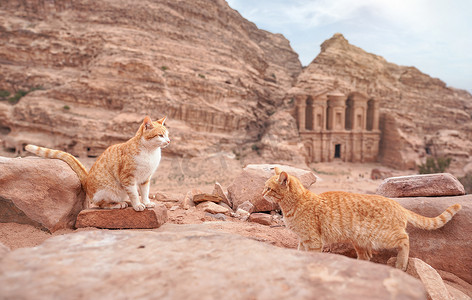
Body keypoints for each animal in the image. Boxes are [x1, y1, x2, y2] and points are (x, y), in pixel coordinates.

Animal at [25, 115, 170, 211]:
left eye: (167, 135)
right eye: (160, 135)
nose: (169, 141)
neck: (150, 152)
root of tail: (87, 179)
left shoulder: (146, 178)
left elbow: (145, 192)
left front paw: (146, 202)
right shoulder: (128, 178)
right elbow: (134, 194)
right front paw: (138, 205)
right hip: (108, 190)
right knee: (101, 204)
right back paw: (118, 204)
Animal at [264, 168, 462, 270]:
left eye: (268, 188)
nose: (261, 193)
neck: (295, 203)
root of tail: (398, 205)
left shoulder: (313, 240)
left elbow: (312, 256)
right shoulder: (303, 240)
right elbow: (299, 252)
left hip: (383, 236)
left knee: (405, 239)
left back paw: (401, 263)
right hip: (360, 241)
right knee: (366, 257)